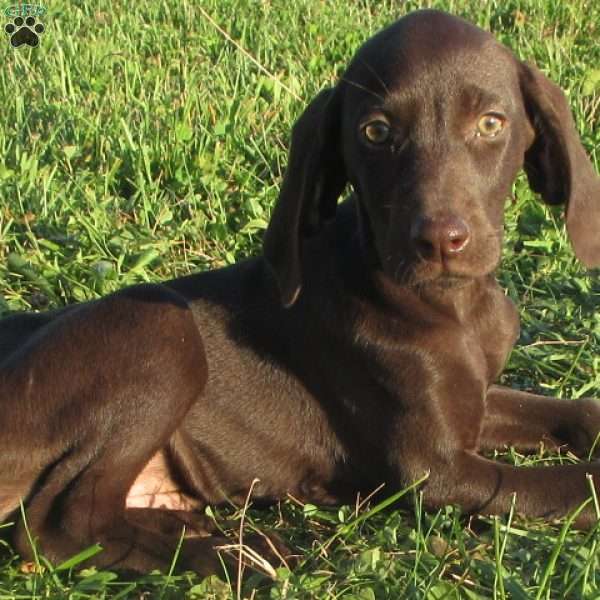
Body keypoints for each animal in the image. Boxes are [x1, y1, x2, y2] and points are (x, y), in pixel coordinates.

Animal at [1, 8, 600, 572]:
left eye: (491, 123)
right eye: (376, 132)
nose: (439, 241)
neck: (454, 306)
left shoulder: (475, 402)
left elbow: (578, 411)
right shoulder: (436, 471)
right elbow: (573, 482)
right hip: (159, 326)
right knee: (59, 527)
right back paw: (237, 558)